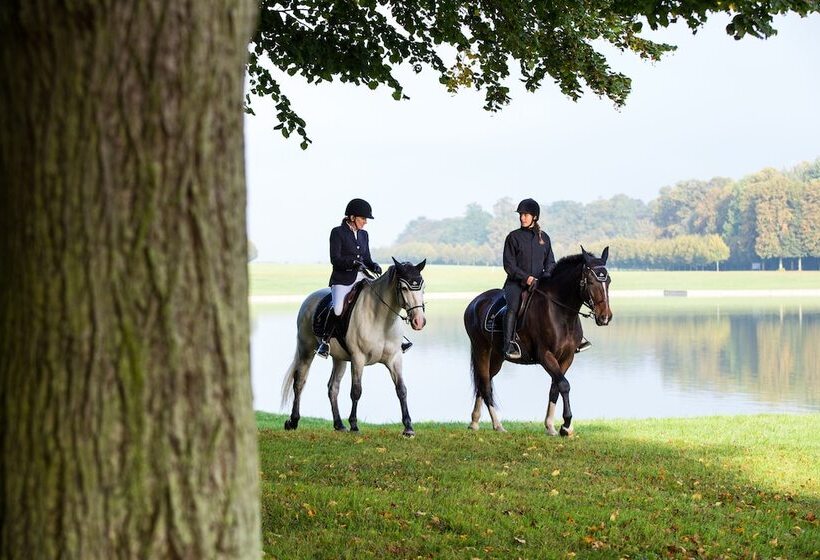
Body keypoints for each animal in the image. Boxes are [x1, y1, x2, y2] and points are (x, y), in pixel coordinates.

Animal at [280, 258, 426, 438]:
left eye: (423, 288)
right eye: (404, 288)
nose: (419, 321)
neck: (381, 318)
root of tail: (309, 299)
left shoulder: (395, 358)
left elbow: (401, 390)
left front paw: (408, 428)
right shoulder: (358, 358)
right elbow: (356, 390)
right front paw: (354, 425)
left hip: (339, 358)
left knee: (333, 387)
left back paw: (339, 424)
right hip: (305, 349)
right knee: (299, 382)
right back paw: (293, 421)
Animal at [462, 247, 608, 436]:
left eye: (609, 281)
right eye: (590, 281)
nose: (605, 317)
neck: (559, 312)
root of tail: (475, 302)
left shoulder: (567, 357)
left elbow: (555, 388)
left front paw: (551, 426)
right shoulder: (544, 355)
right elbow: (564, 385)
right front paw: (566, 426)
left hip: (497, 356)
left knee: (483, 381)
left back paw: (474, 422)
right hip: (481, 349)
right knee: (485, 384)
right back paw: (497, 425)